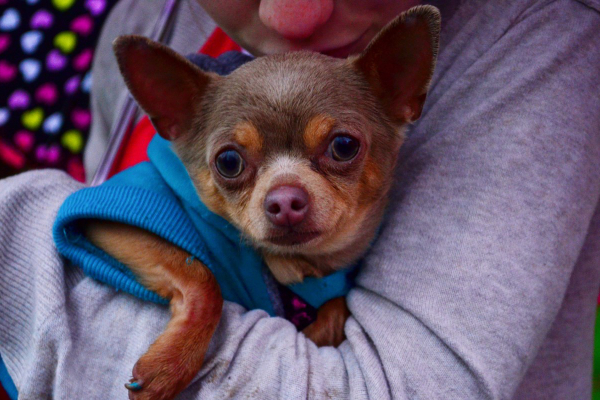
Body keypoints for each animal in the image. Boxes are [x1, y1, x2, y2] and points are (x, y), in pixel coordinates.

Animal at [84, 6, 438, 400]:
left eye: (344, 146)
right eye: (228, 162)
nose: (285, 200)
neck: (293, 263)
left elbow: (337, 306)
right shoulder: (114, 218)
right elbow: (203, 279)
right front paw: (170, 364)